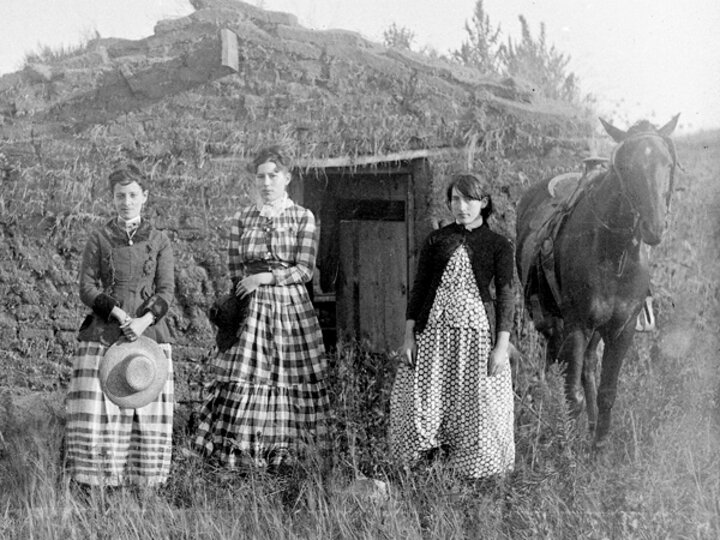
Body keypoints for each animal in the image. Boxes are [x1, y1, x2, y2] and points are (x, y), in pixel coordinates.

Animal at [516, 115, 676, 448]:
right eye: (625, 165)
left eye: (667, 163)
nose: (653, 227)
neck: (614, 254)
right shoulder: (576, 324)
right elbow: (571, 394)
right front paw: (567, 449)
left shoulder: (621, 330)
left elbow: (607, 393)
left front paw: (598, 446)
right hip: (551, 320)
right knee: (557, 365)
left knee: (587, 367)